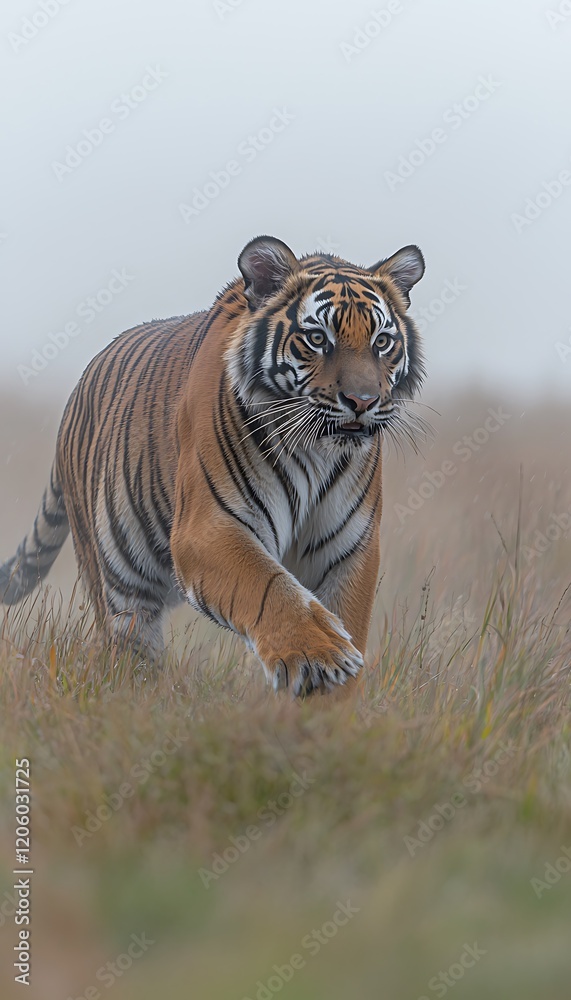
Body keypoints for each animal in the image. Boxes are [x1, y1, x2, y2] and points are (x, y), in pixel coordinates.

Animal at [0, 236, 426, 697]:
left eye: (381, 342)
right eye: (317, 338)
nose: (362, 401)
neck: (315, 449)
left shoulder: (348, 545)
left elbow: (346, 616)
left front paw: (328, 703)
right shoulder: (208, 526)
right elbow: (268, 587)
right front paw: (322, 655)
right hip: (120, 581)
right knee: (129, 650)